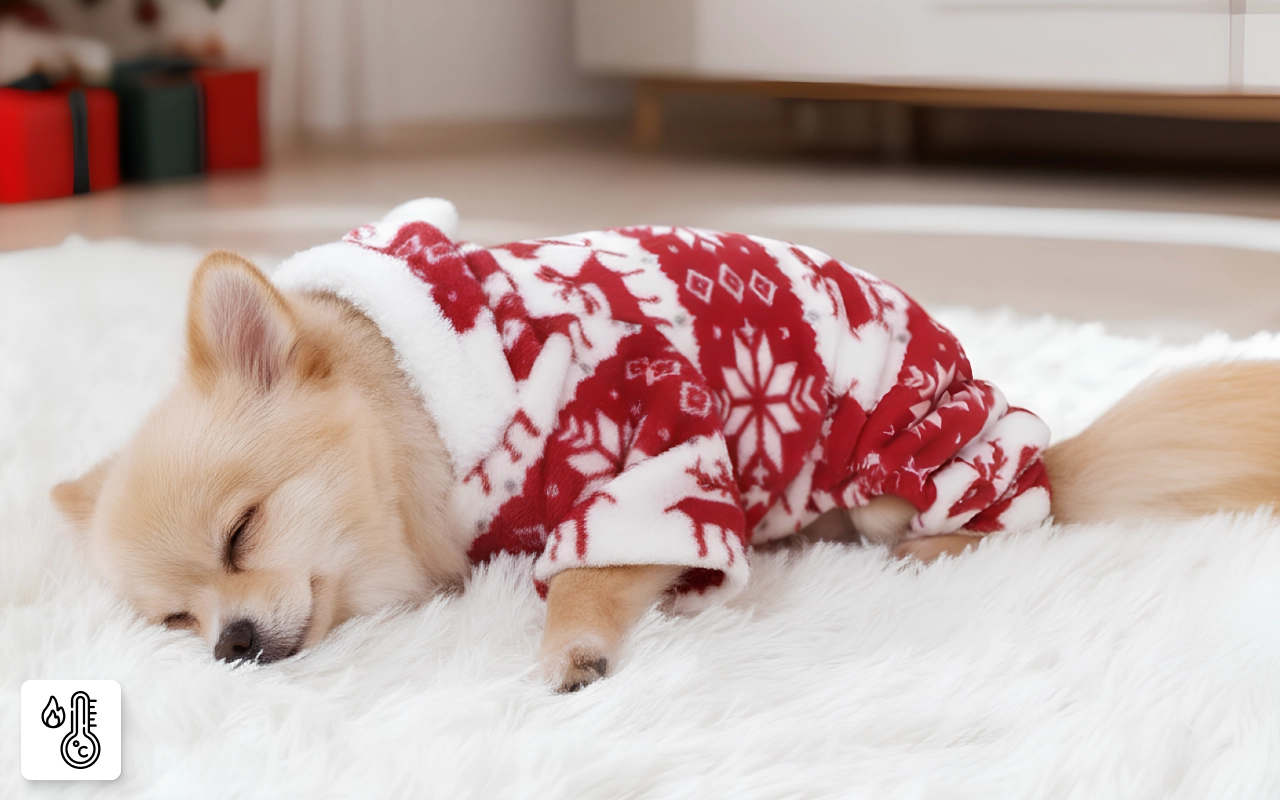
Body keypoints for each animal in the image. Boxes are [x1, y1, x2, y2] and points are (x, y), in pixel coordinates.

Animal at [51, 199, 1280, 692]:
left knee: (1000, 518)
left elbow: (590, 572)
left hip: (909, 458)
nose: (230, 645)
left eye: (241, 530)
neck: (421, 420)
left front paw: (575, 645)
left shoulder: (655, 452)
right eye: (174, 620)